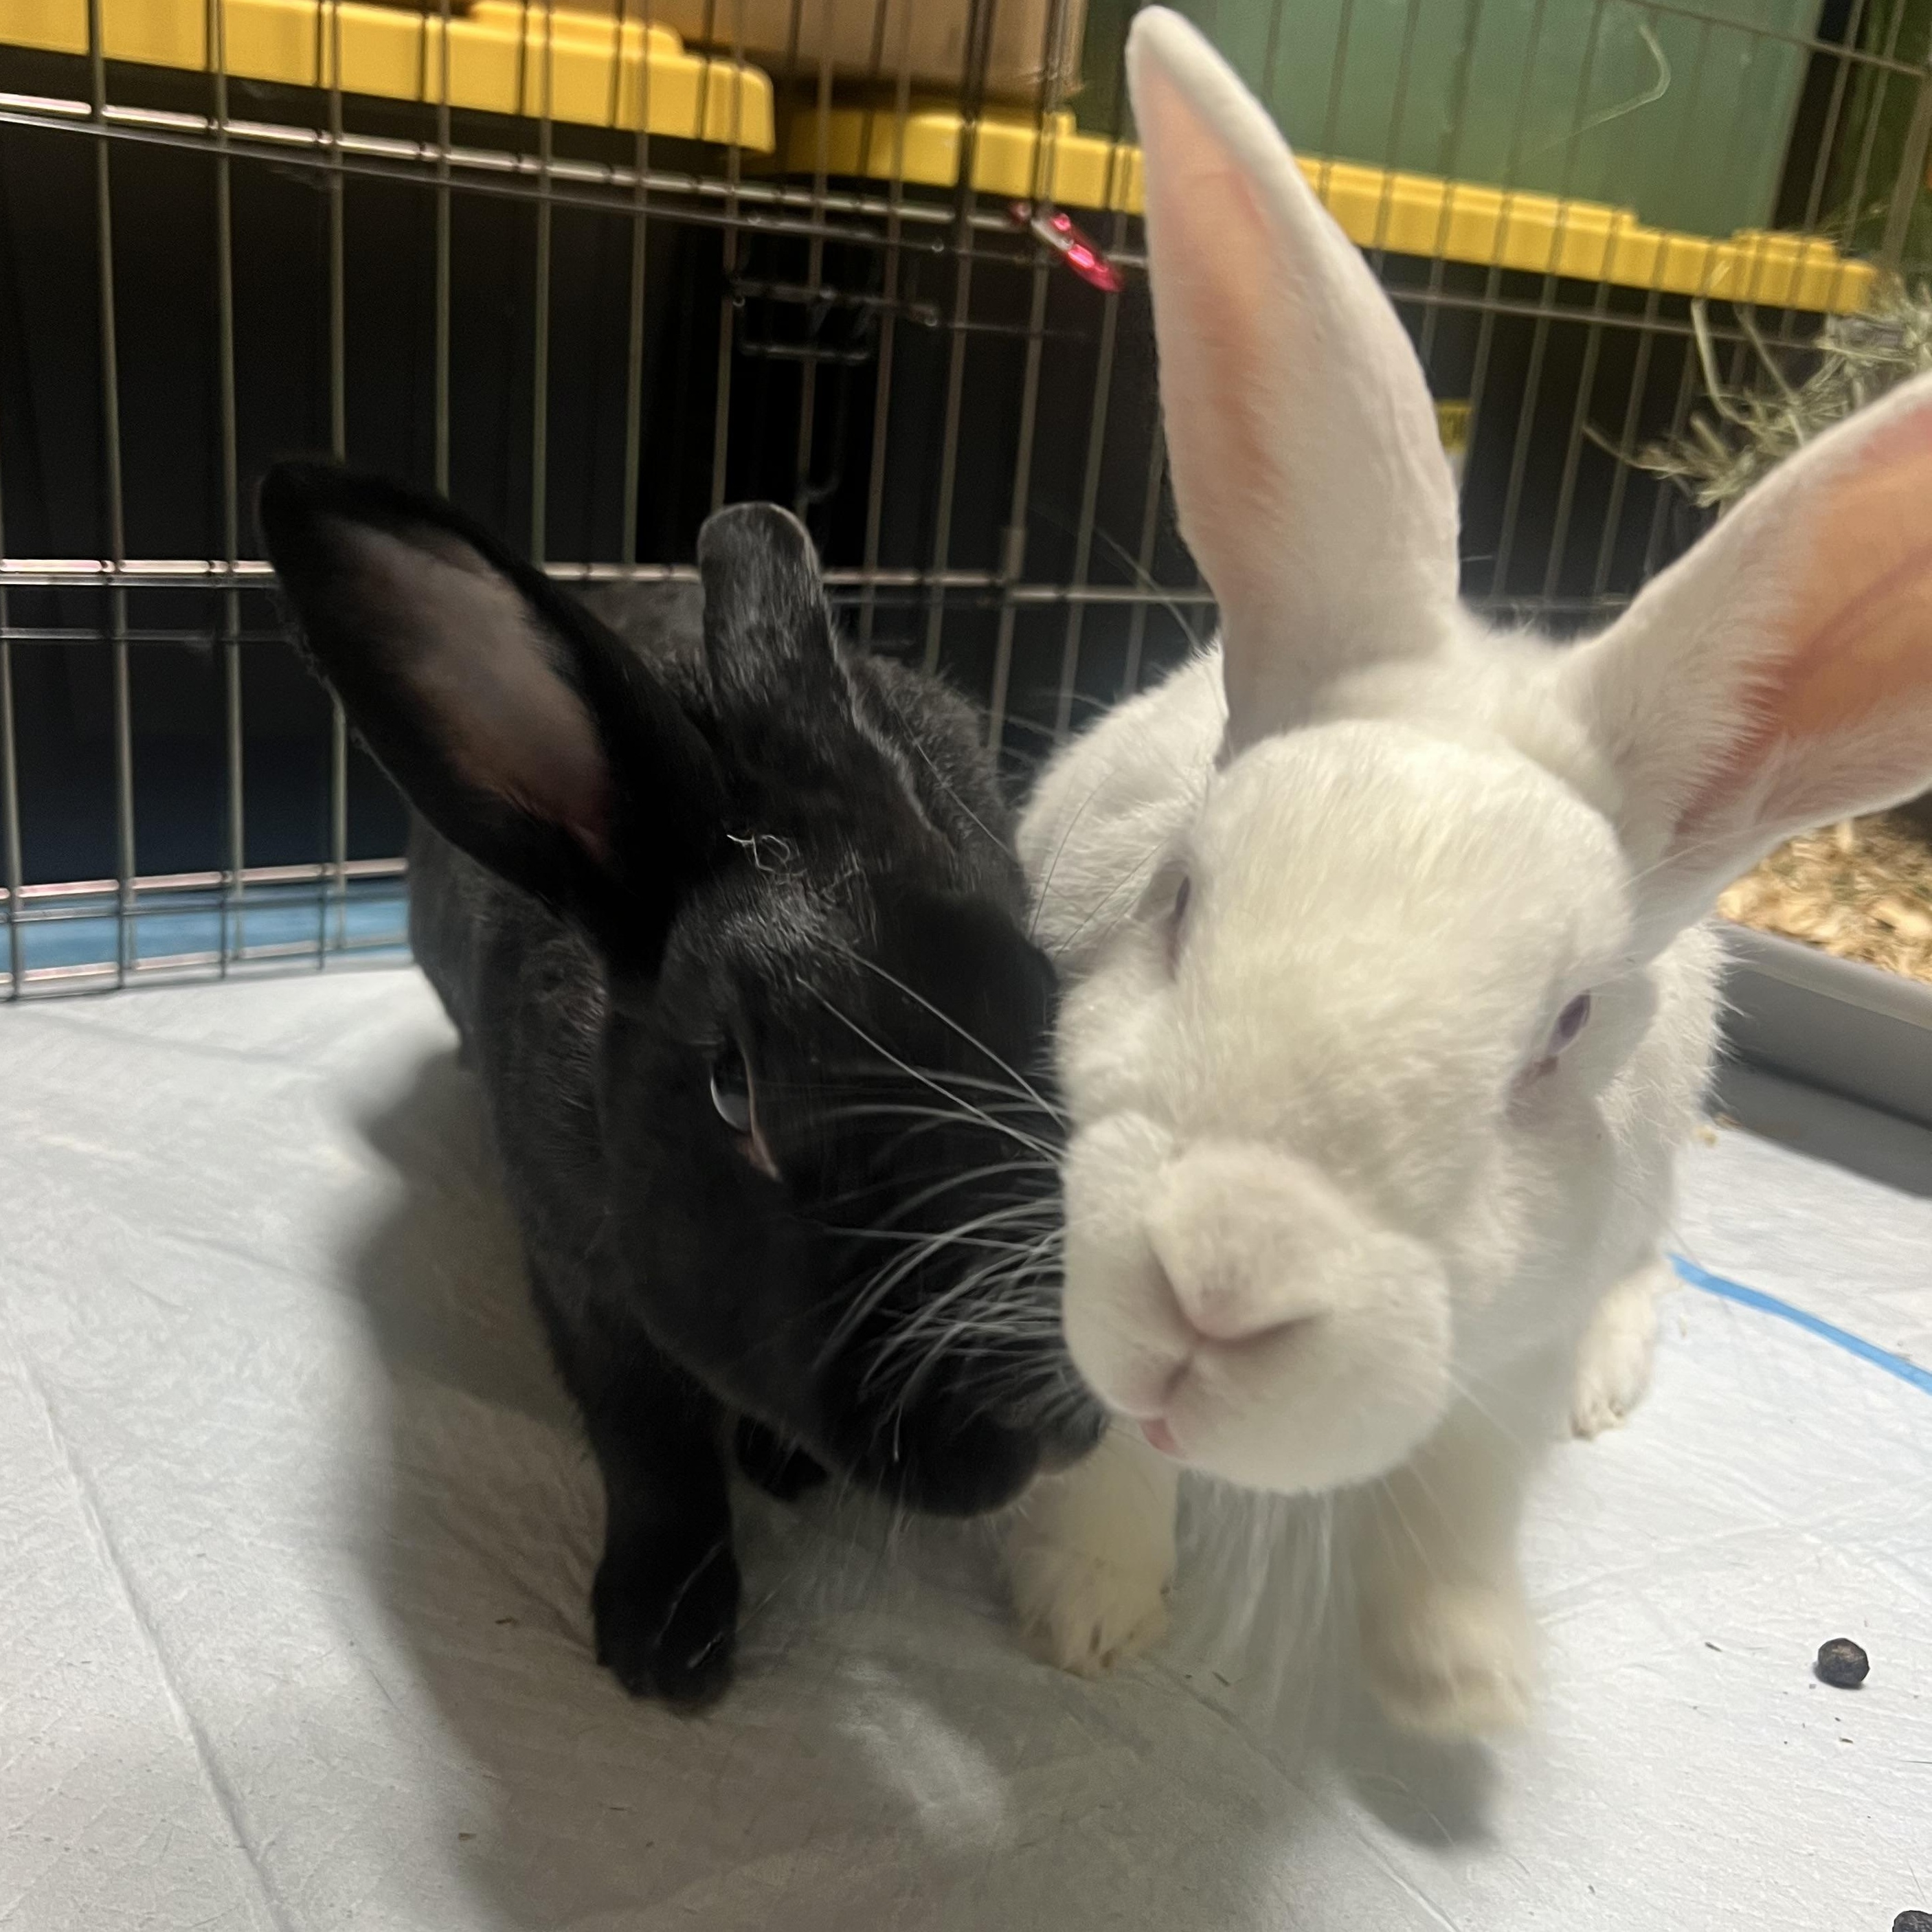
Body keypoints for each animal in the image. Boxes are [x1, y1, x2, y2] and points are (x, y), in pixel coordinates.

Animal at [259, 464, 1105, 1706]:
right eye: (734, 1095)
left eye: (1040, 996)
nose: (1049, 1418)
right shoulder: (581, 1282)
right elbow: (650, 1443)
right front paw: (664, 1646)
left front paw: (779, 1474)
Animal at [1002, 6, 1932, 1735]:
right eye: (1178, 902)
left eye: (1557, 1036)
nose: (1218, 1287)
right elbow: (1097, 1438)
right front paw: (1079, 1609)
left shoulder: (1509, 1339)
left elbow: (1460, 1492)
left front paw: (1457, 1681)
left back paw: (1608, 1381)